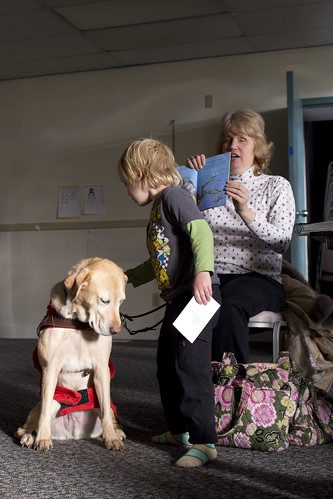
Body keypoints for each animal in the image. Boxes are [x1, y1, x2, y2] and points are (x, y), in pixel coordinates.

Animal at [14, 258, 126, 454]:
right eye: (104, 301)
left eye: (121, 301)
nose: (116, 331)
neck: (79, 324)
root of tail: (74, 433)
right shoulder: (50, 368)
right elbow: (44, 413)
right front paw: (42, 438)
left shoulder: (101, 369)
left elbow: (105, 411)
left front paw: (111, 438)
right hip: (51, 403)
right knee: (30, 422)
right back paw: (30, 436)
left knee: (108, 413)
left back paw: (116, 432)